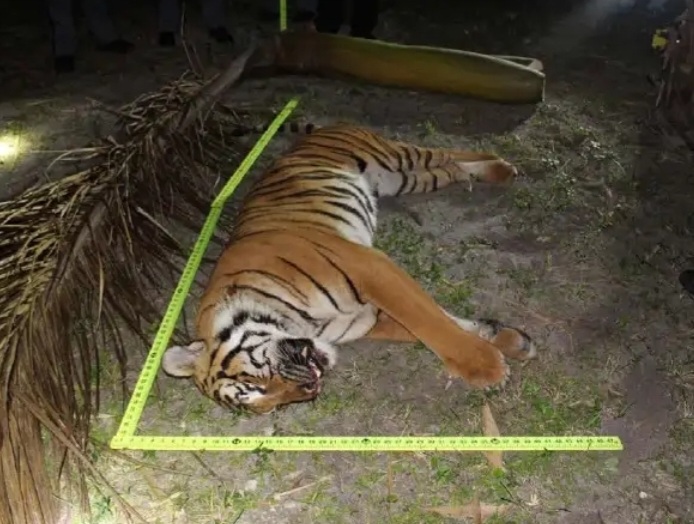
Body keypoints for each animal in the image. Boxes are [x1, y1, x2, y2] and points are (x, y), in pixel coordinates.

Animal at [162, 123, 536, 414]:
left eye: (254, 381)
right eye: (268, 403)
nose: (310, 389)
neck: (305, 324)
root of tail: (320, 130)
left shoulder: (371, 267)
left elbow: (430, 323)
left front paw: (486, 367)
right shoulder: (365, 318)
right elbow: (438, 321)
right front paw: (510, 340)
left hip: (396, 155)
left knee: (447, 151)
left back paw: (502, 166)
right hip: (403, 180)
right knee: (449, 169)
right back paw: (489, 172)